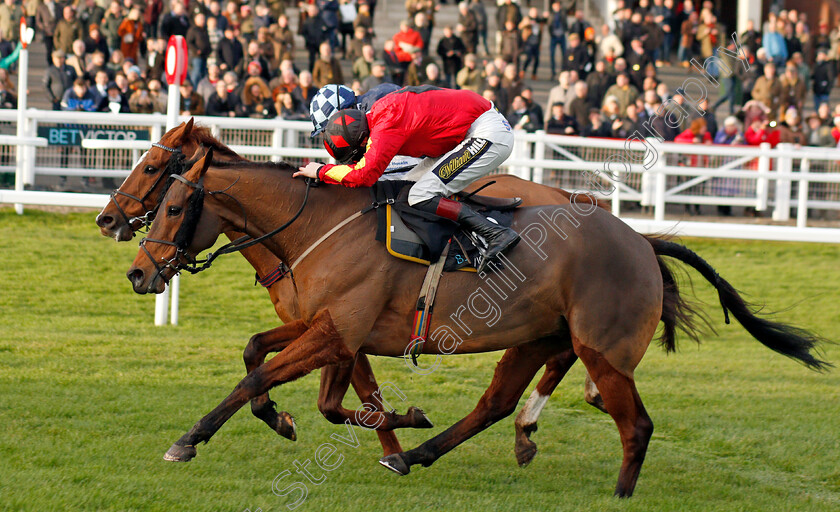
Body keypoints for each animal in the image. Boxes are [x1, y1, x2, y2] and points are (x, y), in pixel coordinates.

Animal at [124, 151, 828, 496]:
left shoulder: (337, 331)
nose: (137, 271)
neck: (315, 225)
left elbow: (261, 379)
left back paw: (620, 490)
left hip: (601, 346)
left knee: (635, 422)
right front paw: (355, 425)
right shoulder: (329, 328)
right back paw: (431, 451)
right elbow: (267, 362)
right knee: (498, 403)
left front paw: (188, 439)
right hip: (538, 336)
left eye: (174, 202)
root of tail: (641, 240)